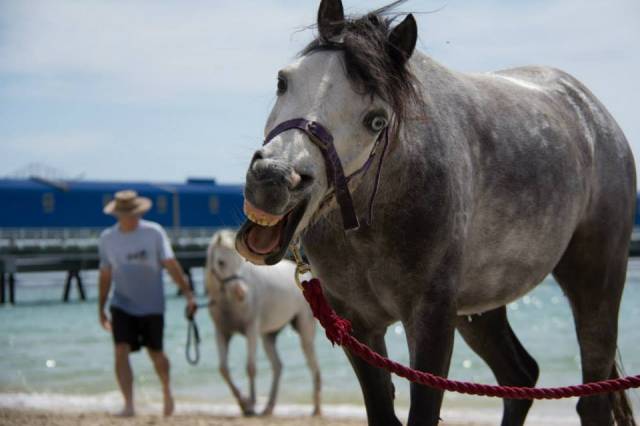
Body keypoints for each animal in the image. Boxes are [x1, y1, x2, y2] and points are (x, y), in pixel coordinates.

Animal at [204, 229, 321, 417]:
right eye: (221, 262)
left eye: (239, 262)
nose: (241, 293)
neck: (229, 303)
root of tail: (308, 278)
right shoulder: (221, 332)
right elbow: (223, 369)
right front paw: (244, 404)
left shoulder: (251, 329)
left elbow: (251, 367)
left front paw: (251, 405)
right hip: (269, 336)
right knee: (278, 366)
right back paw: (269, 407)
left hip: (305, 331)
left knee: (313, 365)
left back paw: (316, 408)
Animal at [233, 1, 637, 425]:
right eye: (284, 81)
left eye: (376, 120)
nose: (274, 178)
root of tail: (592, 113)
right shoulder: (357, 323)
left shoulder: (431, 321)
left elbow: (423, 411)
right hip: (479, 309)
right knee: (520, 377)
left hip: (596, 282)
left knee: (591, 399)